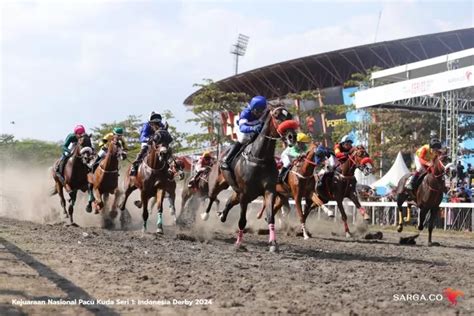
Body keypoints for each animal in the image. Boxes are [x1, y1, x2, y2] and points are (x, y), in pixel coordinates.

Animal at [202, 106, 298, 252]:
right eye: (276, 116)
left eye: (290, 116)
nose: (292, 136)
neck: (259, 158)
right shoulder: (244, 194)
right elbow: (242, 221)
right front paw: (238, 243)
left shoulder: (269, 191)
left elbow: (271, 217)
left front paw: (273, 243)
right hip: (218, 184)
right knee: (212, 197)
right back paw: (205, 215)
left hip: (240, 193)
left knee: (229, 202)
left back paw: (222, 215)